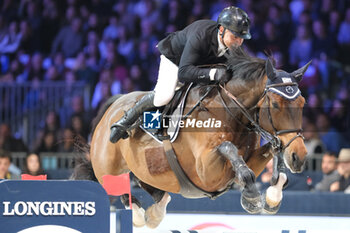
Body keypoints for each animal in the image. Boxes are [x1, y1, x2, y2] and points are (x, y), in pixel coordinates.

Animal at [72, 48, 310, 228]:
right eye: (276, 105)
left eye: (303, 103)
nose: (298, 157)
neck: (231, 111)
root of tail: (113, 106)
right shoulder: (206, 173)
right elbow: (228, 149)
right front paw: (252, 198)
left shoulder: (249, 159)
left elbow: (269, 157)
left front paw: (273, 195)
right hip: (108, 166)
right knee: (116, 186)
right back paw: (139, 214)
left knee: (148, 185)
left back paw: (155, 211)